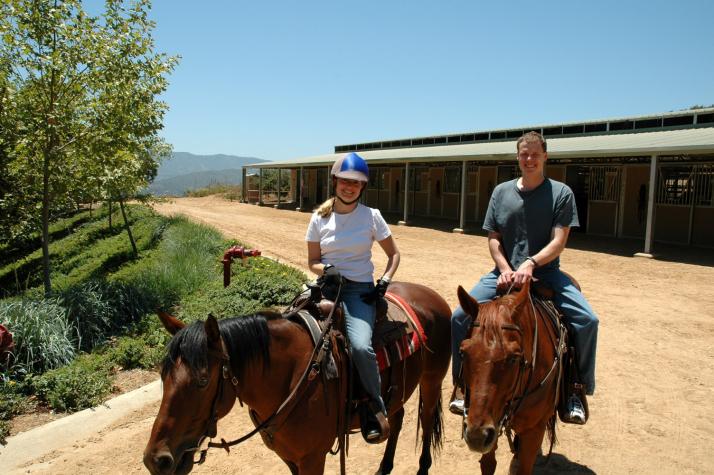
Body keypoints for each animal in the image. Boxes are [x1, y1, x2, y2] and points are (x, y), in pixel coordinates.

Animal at [142, 282, 448, 475]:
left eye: (203, 381)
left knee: (426, 420)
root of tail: (432, 296)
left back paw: (423, 468)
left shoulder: (312, 458)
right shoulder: (288, 456)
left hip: (432, 380)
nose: (156, 460)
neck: (291, 377)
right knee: (396, 419)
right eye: (163, 377)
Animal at [456, 280, 568, 475]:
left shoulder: (534, 430)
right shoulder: (493, 423)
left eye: (514, 357)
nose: (476, 436)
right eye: (463, 352)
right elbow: (488, 464)